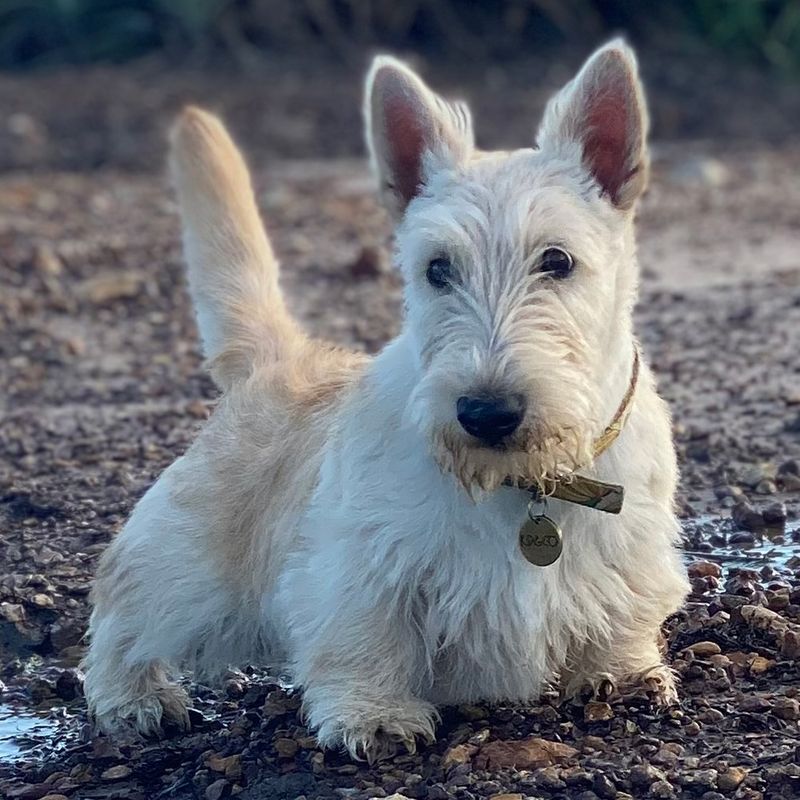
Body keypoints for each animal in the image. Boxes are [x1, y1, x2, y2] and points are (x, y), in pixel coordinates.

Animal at [84, 42, 692, 764]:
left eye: (558, 261)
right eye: (437, 269)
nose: (486, 413)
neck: (525, 483)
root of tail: (281, 359)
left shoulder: (631, 548)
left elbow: (623, 613)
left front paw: (623, 673)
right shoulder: (361, 568)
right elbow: (365, 640)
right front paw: (373, 715)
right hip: (188, 568)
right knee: (122, 604)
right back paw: (135, 698)